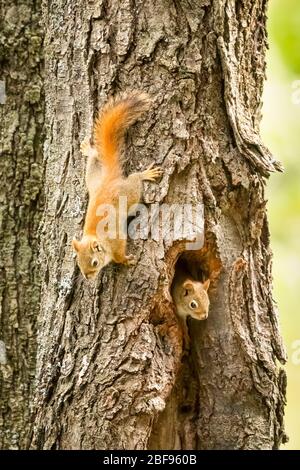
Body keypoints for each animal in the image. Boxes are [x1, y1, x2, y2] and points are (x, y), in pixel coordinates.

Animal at [72, 92, 162, 280]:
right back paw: (89, 150)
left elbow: (119, 253)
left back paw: (144, 174)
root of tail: (109, 180)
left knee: (135, 180)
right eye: (78, 263)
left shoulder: (116, 239)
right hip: (93, 179)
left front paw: (125, 260)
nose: (88, 277)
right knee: (94, 159)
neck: (95, 236)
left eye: (94, 263)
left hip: (130, 194)